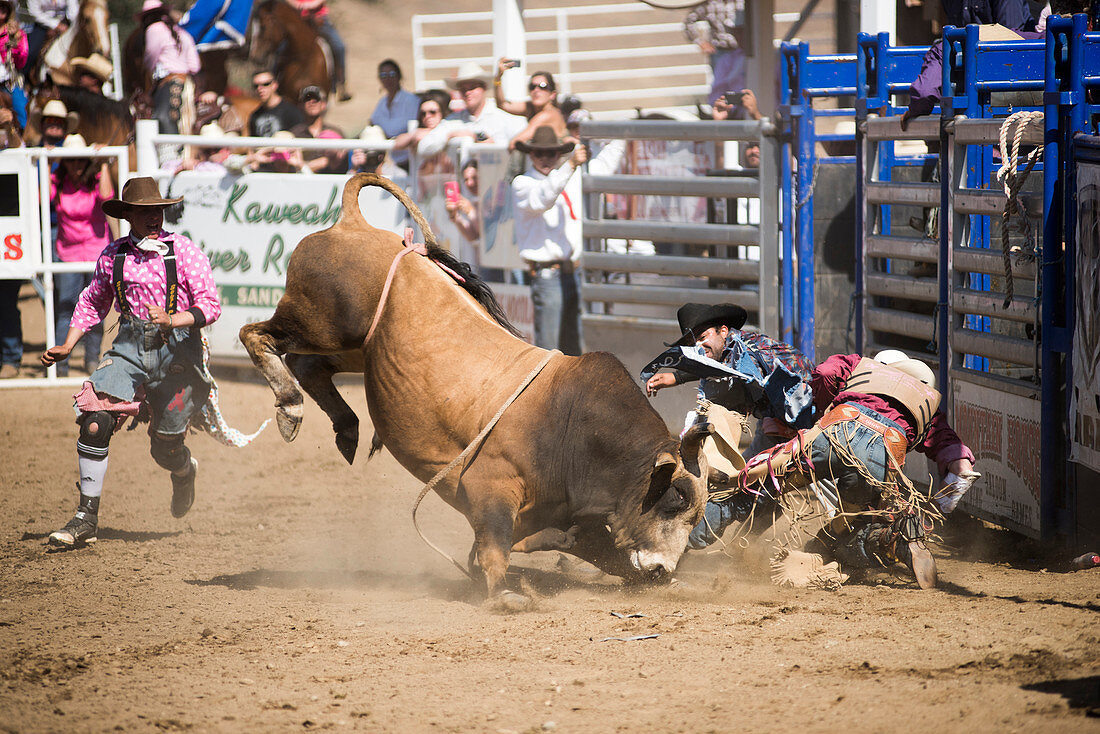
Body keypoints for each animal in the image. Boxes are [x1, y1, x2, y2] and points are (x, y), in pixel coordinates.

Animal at [236, 174, 708, 607]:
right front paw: (503, 594)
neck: (571, 423)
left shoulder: (572, 515)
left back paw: (345, 426)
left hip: (355, 349)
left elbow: (600, 552)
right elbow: (495, 546)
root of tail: (353, 225)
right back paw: (291, 407)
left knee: (309, 365)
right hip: (318, 321)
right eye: (674, 501)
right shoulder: (492, 490)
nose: (664, 569)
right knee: (256, 335)